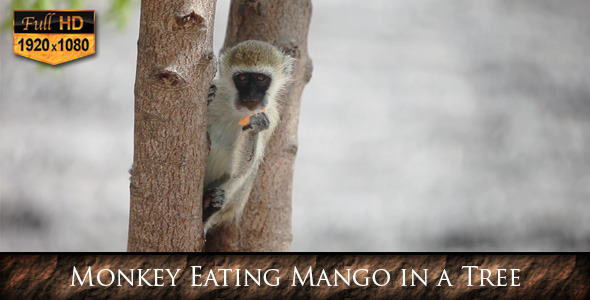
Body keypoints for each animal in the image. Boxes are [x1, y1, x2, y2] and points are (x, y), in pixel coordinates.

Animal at [204, 39, 296, 233]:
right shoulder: (219, 92)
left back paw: (207, 212)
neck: (240, 112)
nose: (251, 94)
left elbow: (240, 171)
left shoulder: (271, 116)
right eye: (243, 78)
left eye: (260, 78)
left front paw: (254, 129)